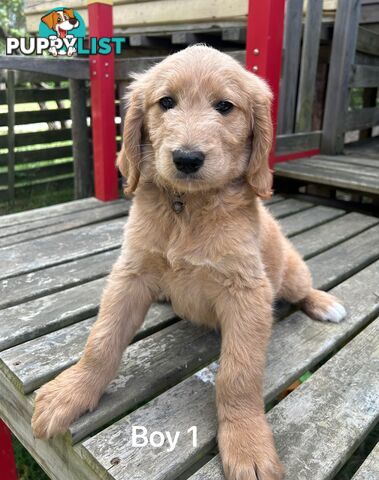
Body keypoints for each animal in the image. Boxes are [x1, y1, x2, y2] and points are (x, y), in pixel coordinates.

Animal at [32, 46, 348, 480]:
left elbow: (237, 375)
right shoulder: (131, 273)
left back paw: (324, 303)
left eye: (225, 107)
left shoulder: (247, 293)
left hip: (290, 273)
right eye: (166, 103)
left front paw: (246, 442)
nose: (186, 158)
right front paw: (71, 392)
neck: (188, 207)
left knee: (302, 289)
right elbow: (102, 340)